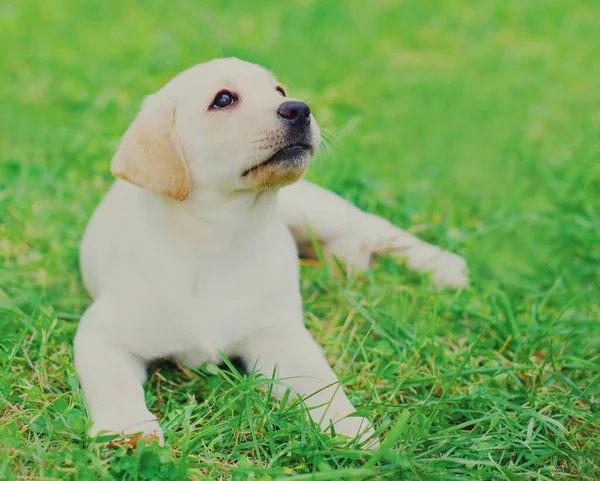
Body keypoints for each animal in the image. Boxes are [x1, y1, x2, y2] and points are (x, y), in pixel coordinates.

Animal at [75, 58, 468, 448]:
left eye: (279, 91)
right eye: (223, 99)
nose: (300, 108)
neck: (220, 236)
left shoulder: (278, 337)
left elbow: (320, 382)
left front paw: (349, 426)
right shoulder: (101, 334)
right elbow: (114, 383)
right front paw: (128, 430)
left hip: (316, 211)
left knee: (375, 230)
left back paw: (446, 267)